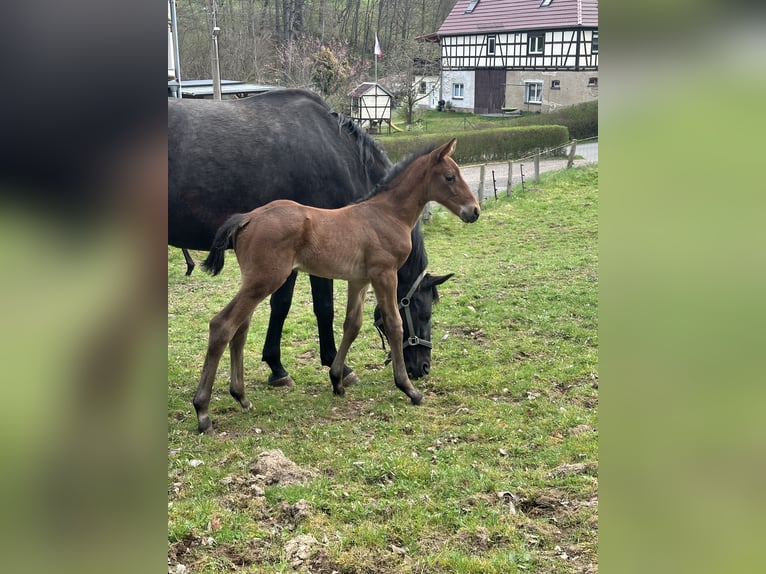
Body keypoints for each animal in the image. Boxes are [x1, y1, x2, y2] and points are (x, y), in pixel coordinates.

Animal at [170, 89, 450, 388]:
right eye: (424, 312)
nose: (423, 367)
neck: (338, 154)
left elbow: (281, 305)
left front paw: (276, 366)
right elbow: (323, 307)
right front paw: (335, 365)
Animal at [192, 140, 480, 434]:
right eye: (450, 177)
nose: (474, 210)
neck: (387, 214)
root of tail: (247, 218)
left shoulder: (359, 280)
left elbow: (352, 324)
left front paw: (337, 380)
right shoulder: (384, 274)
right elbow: (394, 324)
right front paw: (409, 389)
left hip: (255, 281)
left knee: (240, 329)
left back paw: (242, 397)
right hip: (265, 280)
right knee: (222, 325)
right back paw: (203, 411)